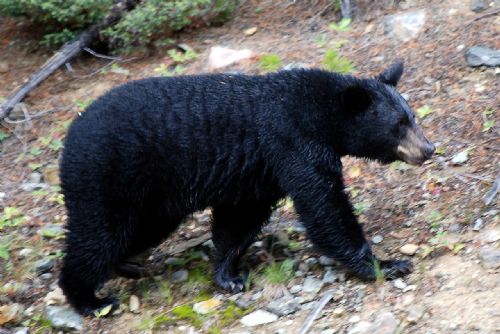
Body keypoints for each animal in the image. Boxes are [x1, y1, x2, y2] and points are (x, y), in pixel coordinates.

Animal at [58, 61, 434, 314]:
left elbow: (239, 219)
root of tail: (70, 134)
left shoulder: (260, 172)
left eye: (412, 116)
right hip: (107, 176)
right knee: (99, 235)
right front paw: (385, 264)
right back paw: (90, 300)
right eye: (398, 124)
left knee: (138, 231)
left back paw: (126, 266)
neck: (322, 115)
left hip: (152, 199)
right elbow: (325, 207)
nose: (428, 148)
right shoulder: (293, 142)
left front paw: (228, 275)